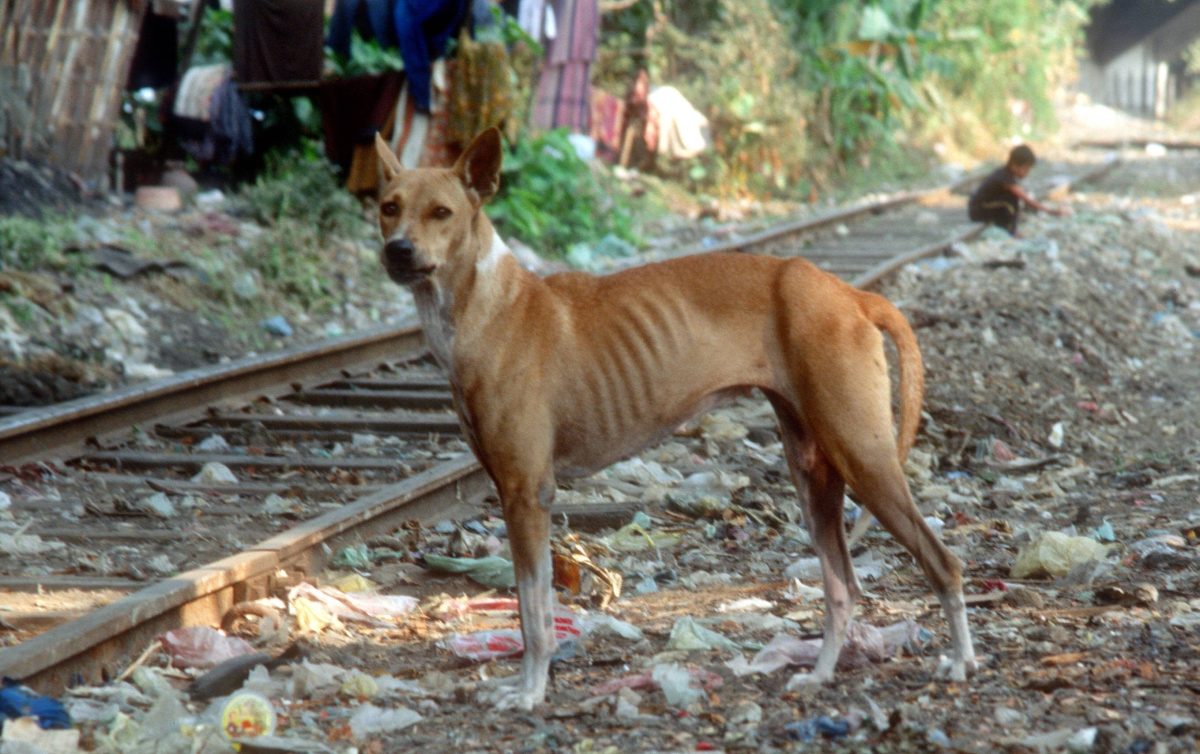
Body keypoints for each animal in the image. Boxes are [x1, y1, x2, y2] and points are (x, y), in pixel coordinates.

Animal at [374, 126, 974, 710]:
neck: (488, 307)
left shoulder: (526, 493)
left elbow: (533, 614)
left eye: (442, 212)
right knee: (843, 588)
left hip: (863, 456)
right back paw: (821, 673)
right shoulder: (516, 492)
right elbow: (534, 607)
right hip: (815, 474)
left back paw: (962, 661)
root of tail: (848, 292)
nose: (398, 251)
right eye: (388, 206)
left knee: (943, 563)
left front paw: (529, 692)